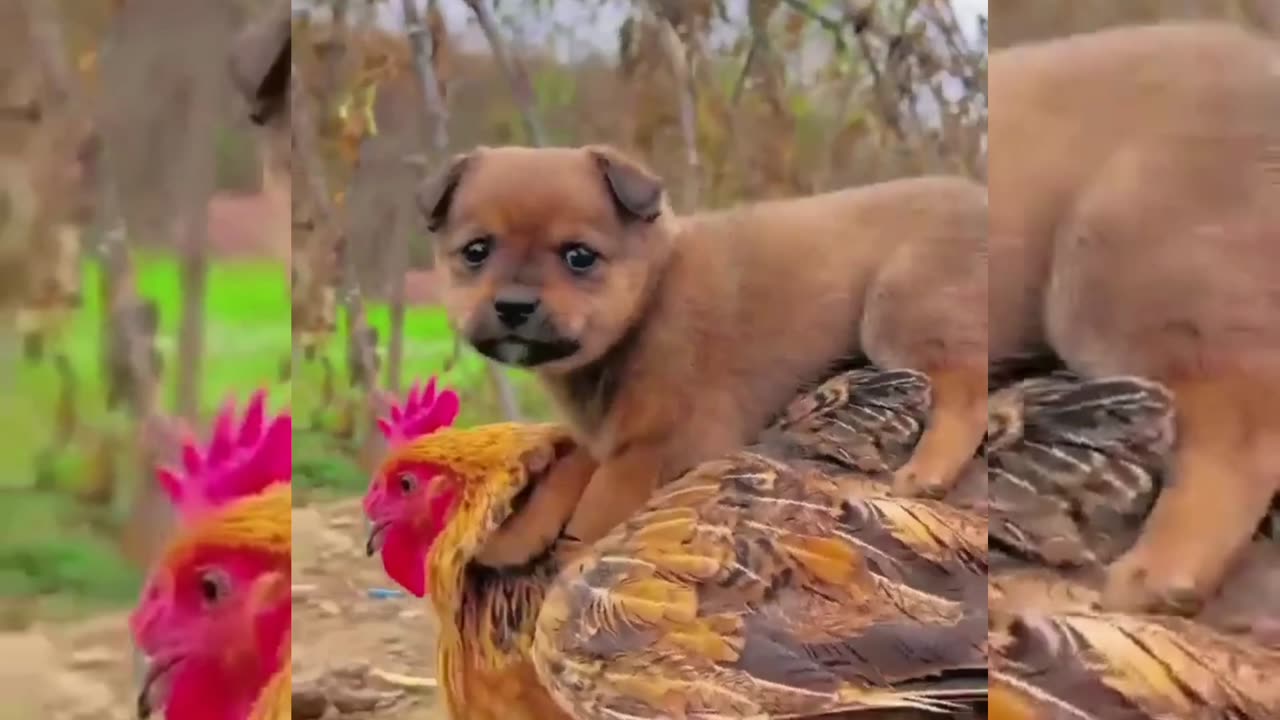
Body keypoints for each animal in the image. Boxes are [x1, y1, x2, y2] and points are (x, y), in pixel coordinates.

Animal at [424, 144, 983, 543]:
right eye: (476, 252)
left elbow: (600, 506)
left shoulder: (667, 442)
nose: (514, 305)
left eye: (579, 257)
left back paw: (928, 470)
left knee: (964, 394)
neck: (651, 299)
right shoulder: (609, 438)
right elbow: (568, 471)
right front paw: (518, 533)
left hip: (898, 311)